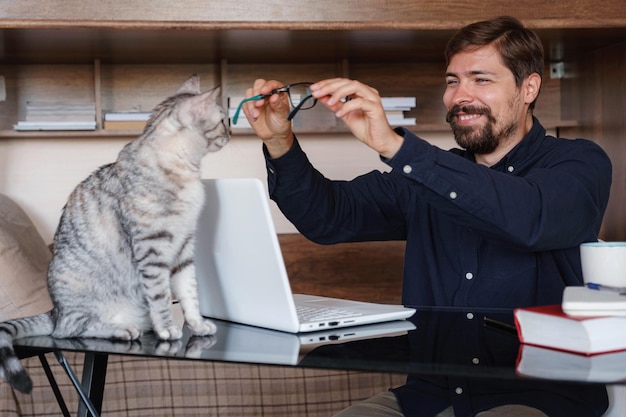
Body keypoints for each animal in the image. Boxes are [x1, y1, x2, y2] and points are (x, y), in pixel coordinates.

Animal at [0, 74, 228, 390]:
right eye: (223, 119)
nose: (230, 133)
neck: (187, 173)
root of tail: (54, 310)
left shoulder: (184, 249)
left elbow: (189, 293)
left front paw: (196, 324)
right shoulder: (152, 250)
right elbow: (161, 297)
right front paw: (168, 329)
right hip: (77, 296)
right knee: (69, 330)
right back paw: (120, 330)